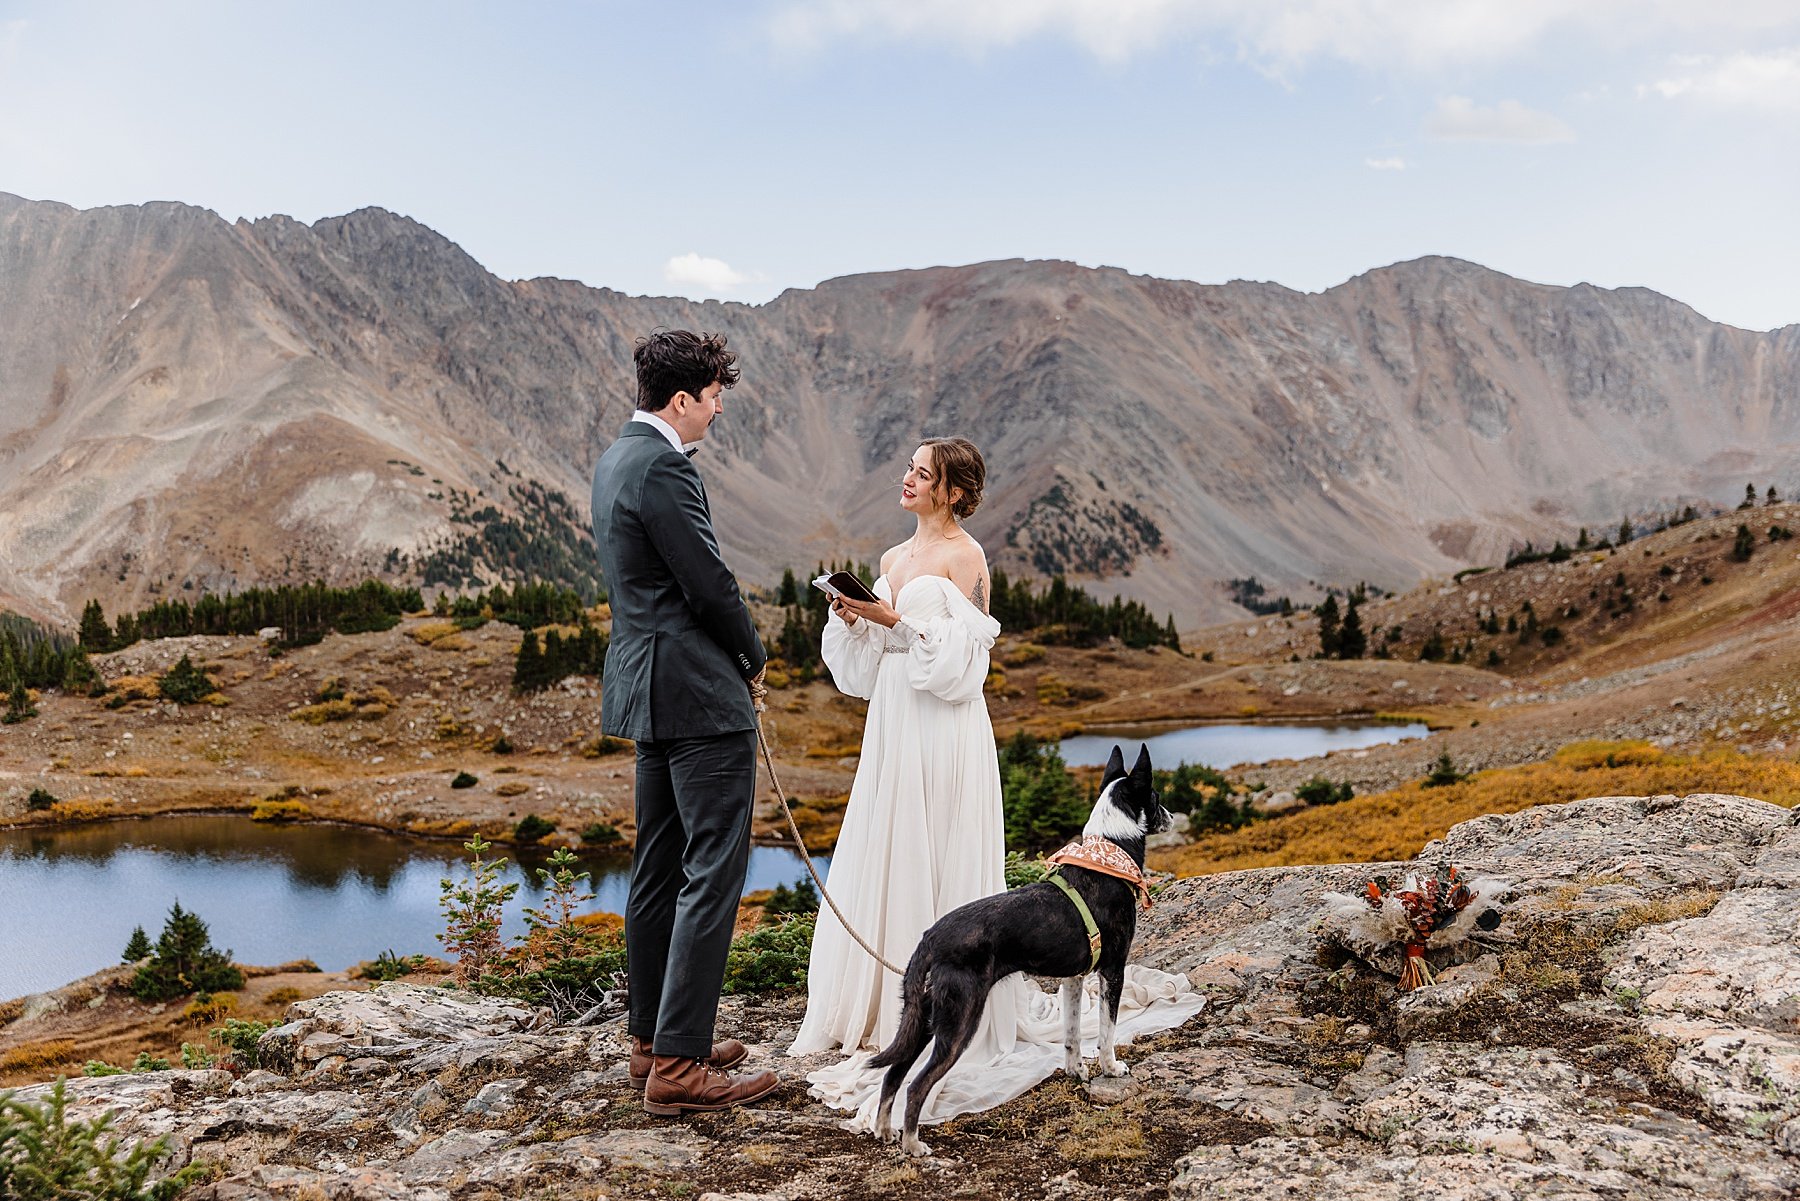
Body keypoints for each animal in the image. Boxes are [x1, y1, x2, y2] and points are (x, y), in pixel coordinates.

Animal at [867, 741, 1173, 1152]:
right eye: (1155, 797)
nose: (1171, 816)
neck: (1109, 855)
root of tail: (929, 938)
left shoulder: (1074, 978)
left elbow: (1072, 1032)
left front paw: (1076, 1071)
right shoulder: (1113, 969)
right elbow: (1107, 1030)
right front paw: (1111, 1068)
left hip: (927, 1016)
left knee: (894, 1073)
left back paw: (885, 1130)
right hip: (961, 1017)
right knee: (917, 1084)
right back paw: (914, 1145)